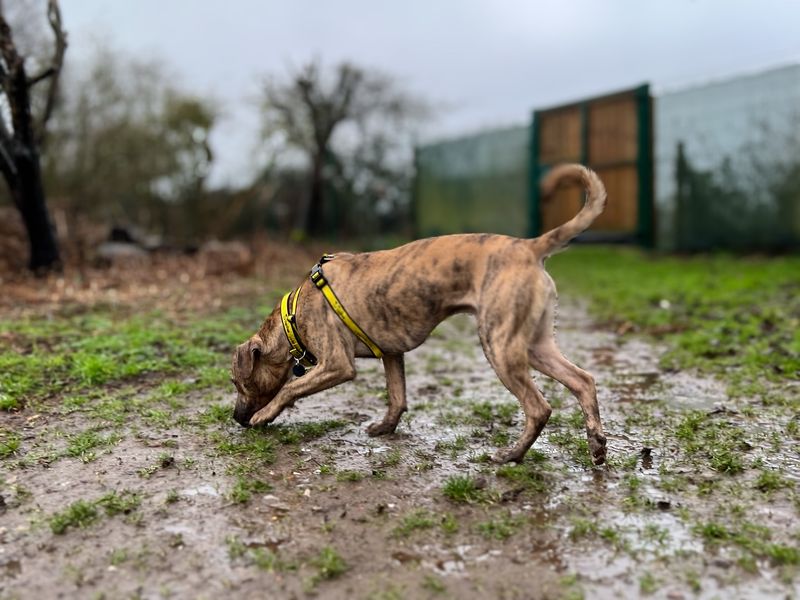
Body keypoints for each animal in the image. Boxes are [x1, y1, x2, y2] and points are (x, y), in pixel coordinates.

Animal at [231, 163, 608, 464]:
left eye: (236, 382)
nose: (235, 418)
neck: (292, 316)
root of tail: (529, 247)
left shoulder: (336, 364)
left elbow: (289, 390)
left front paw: (265, 415)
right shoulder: (391, 354)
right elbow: (397, 397)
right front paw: (386, 427)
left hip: (499, 345)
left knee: (538, 407)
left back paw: (512, 455)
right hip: (534, 345)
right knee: (583, 381)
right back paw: (596, 445)